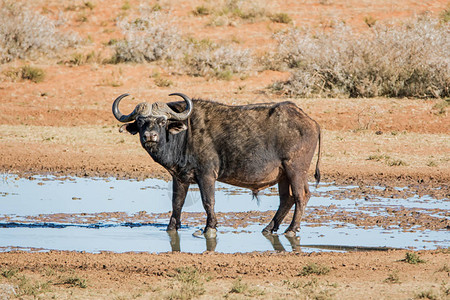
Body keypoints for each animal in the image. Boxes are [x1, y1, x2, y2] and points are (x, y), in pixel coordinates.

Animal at [114, 92, 322, 238]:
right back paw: (269, 228)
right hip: (284, 175)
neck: (185, 134)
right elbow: (177, 203)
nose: (150, 136)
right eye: (141, 121)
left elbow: (208, 201)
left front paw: (210, 227)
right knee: (287, 199)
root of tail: (310, 121)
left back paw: (292, 229)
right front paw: (172, 227)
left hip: (295, 169)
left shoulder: (206, 175)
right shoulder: (180, 177)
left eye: (161, 120)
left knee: (300, 196)